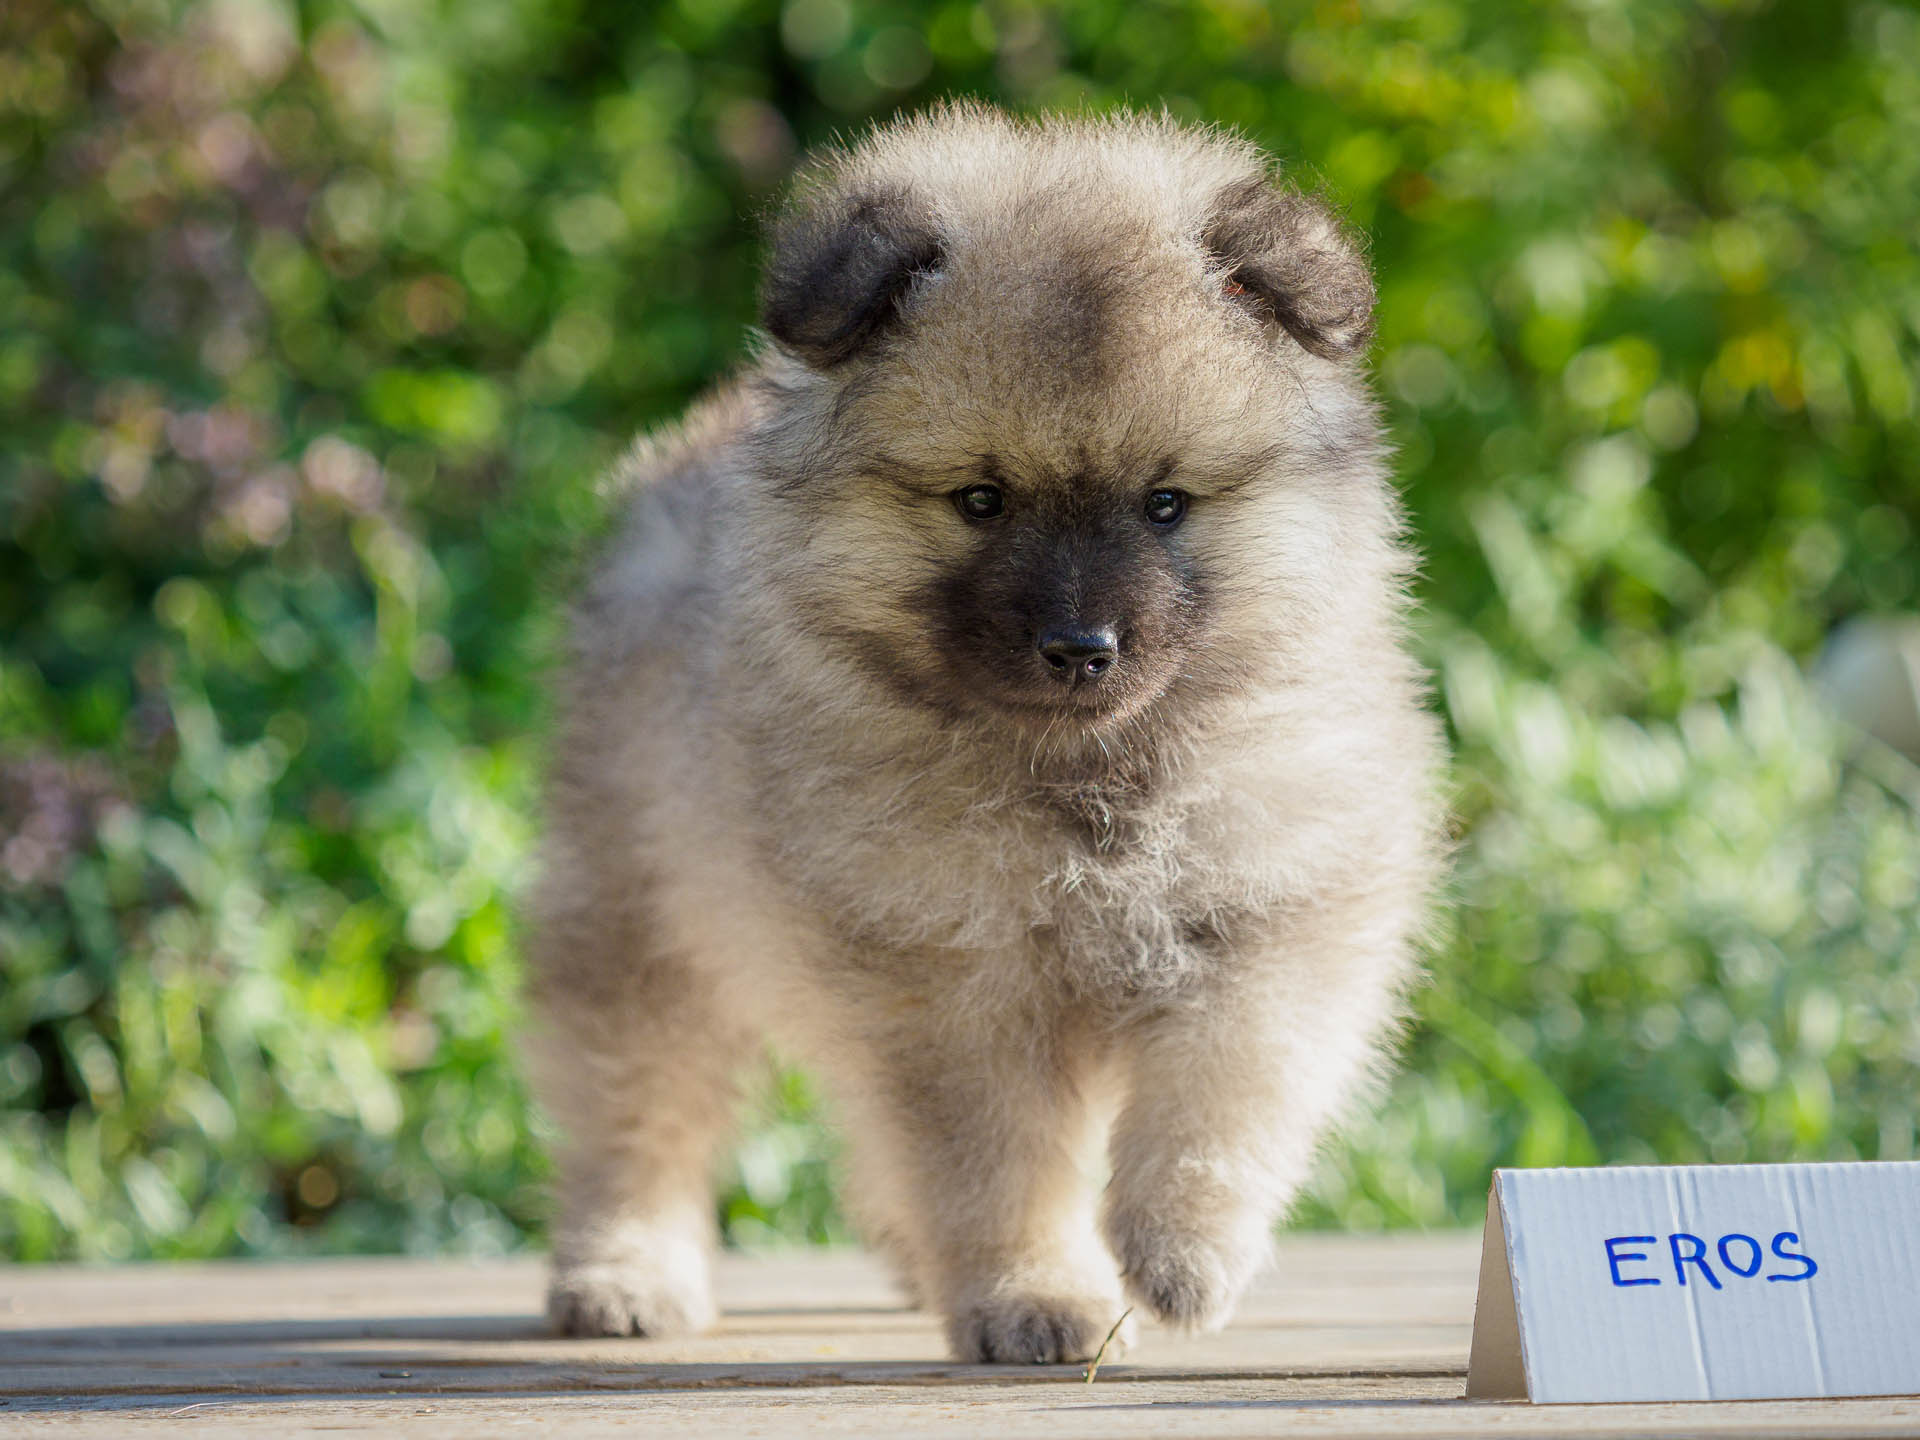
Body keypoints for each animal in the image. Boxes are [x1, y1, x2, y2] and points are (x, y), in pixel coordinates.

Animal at [522, 101, 1443, 1367]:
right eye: (981, 501)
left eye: (1165, 503)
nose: (1080, 645)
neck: (1091, 779)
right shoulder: (953, 982)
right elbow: (999, 1163)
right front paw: (1037, 1294)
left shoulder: (1269, 918)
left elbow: (1218, 1096)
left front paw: (1181, 1255)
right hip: (642, 913)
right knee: (636, 1112)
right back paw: (625, 1271)